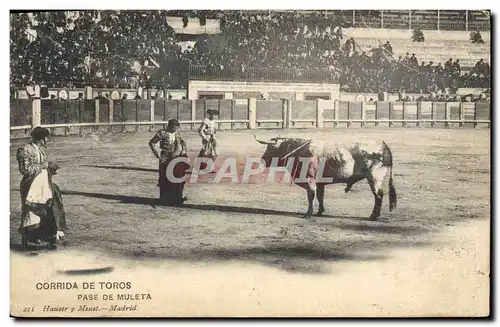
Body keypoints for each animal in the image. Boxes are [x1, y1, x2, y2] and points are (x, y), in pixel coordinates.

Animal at [256, 135, 396, 222]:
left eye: (270, 147)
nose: (263, 160)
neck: (299, 152)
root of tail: (383, 145)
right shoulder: (319, 182)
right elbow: (320, 196)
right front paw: (320, 211)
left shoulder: (309, 179)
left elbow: (311, 195)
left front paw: (309, 213)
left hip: (375, 177)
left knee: (378, 195)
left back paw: (373, 216)